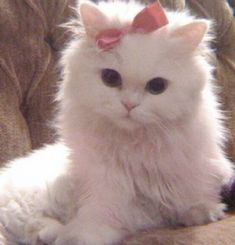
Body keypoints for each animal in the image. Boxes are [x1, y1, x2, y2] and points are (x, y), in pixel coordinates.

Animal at [0, 0, 233, 245]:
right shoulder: (104, 180)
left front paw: (203, 211)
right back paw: (56, 234)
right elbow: (103, 214)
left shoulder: (187, 164)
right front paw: (87, 235)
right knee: (28, 222)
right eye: (111, 78)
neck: (136, 144)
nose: (129, 105)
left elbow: (192, 190)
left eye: (157, 86)